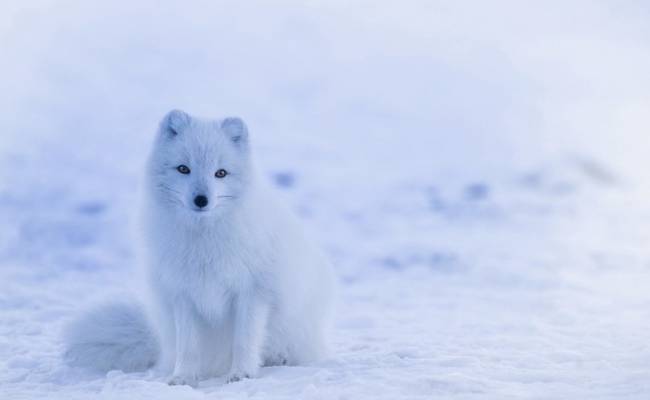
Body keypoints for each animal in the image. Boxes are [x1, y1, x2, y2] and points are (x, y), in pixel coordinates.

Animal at [64, 111, 336, 386]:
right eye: (184, 169)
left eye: (221, 173)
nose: (201, 200)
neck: (204, 240)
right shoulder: (183, 294)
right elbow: (188, 347)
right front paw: (182, 377)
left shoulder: (253, 292)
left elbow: (245, 340)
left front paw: (241, 374)